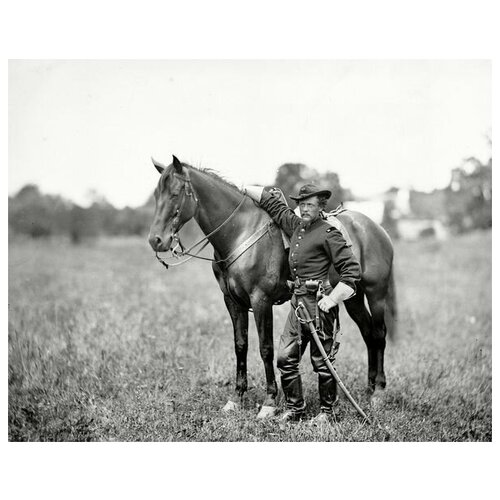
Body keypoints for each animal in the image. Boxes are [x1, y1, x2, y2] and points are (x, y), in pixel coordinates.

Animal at [146, 155, 396, 418]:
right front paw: (237, 397)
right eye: (156, 195)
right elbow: (241, 345)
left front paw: (269, 401)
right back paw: (369, 388)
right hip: (352, 297)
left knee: (378, 333)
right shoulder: (232, 301)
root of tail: (375, 228)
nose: (156, 240)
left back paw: (378, 392)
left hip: (376, 293)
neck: (239, 232)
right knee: (367, 333)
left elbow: (265, 348)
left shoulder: (261, 300)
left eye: (175, 194)